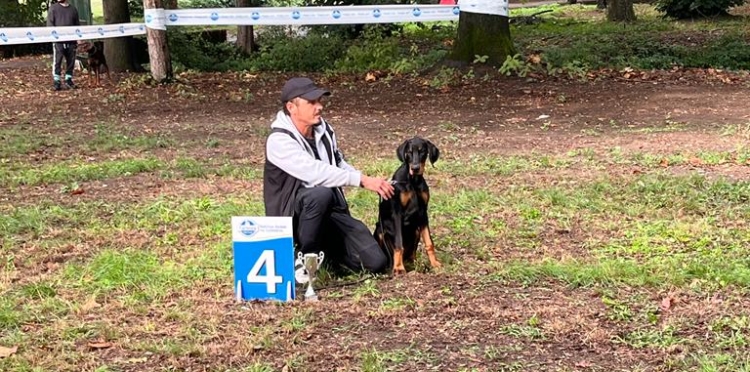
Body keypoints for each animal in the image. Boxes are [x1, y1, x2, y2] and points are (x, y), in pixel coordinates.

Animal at [374, 137, 440, 276]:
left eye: (422, 151)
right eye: (409, 152)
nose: (415, 168)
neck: (413, 181)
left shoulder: (423, 212)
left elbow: (429, 242)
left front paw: (435, 263)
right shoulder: (397, 213)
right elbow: (399, 244)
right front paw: (399, 268)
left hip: (416, 230)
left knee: (411, 255)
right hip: (380, 229)